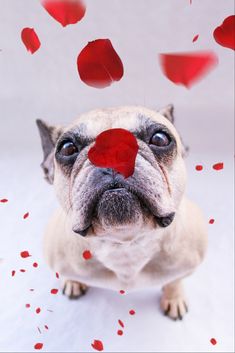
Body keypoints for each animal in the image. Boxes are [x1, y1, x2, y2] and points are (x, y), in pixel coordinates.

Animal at [36, 104, 207, 320]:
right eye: (68, 148)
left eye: (160, 138)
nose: (111, 152)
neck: (125, 244)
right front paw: (72, 281)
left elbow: (174, 281)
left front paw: (173, 298)